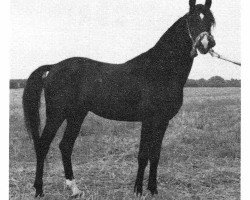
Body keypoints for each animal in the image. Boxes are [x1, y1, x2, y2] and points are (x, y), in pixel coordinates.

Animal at [22, 0, 216, 197]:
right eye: (192, 20)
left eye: (210, 21)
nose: (206, 43)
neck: (159, 70)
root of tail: (54, 67)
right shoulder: (148, 120)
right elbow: (143, 155)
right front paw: (138, 190)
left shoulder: (162, 121)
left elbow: (155, 155)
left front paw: (153, 189)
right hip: (57, 114)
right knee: (43, 145)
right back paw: (39, 190)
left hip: (76, 115)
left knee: (65, 146)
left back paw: (75, 189)